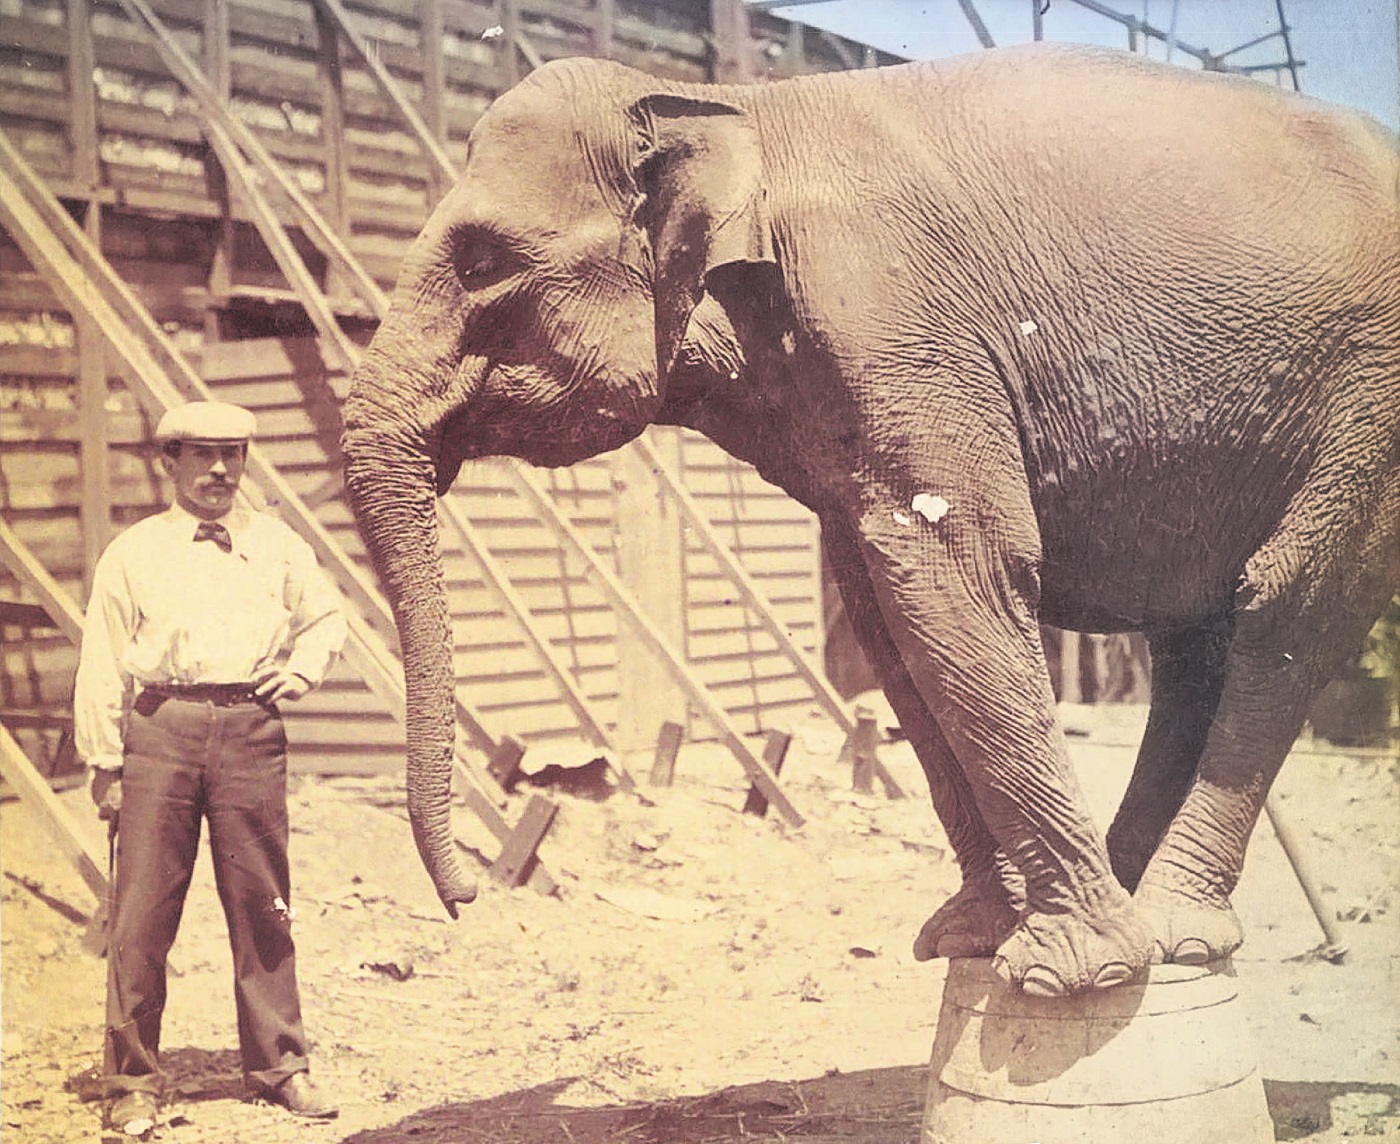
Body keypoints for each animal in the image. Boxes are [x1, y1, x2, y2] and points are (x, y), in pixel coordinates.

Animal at [341, 40, 1400, 996]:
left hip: (1368, 410)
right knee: (1196, 644)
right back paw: (1139, 901)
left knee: (1286, 610)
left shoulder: (897, 326)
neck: (730, 107)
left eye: (481, 258)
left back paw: (1172, 933)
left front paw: (1069, 973)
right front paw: (969, 938)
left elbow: (958, 574)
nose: (470, 896)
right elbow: (887, 616)